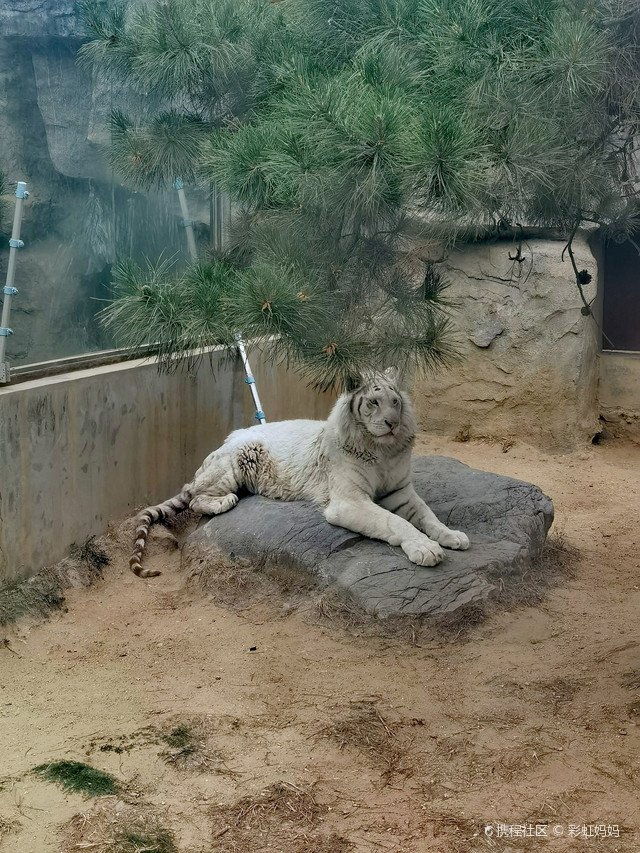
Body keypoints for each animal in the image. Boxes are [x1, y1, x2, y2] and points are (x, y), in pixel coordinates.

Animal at [130, 368, 470, 580]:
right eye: (374, 402)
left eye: (396, 402)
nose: (392, 423)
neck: (381, 451)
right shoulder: (349, 501)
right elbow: (394, 522)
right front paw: (426, 549)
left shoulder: (400, 491)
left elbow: (427, 515)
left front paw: (451, 535)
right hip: (231, 464)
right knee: (195, 497)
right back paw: (224, 501)